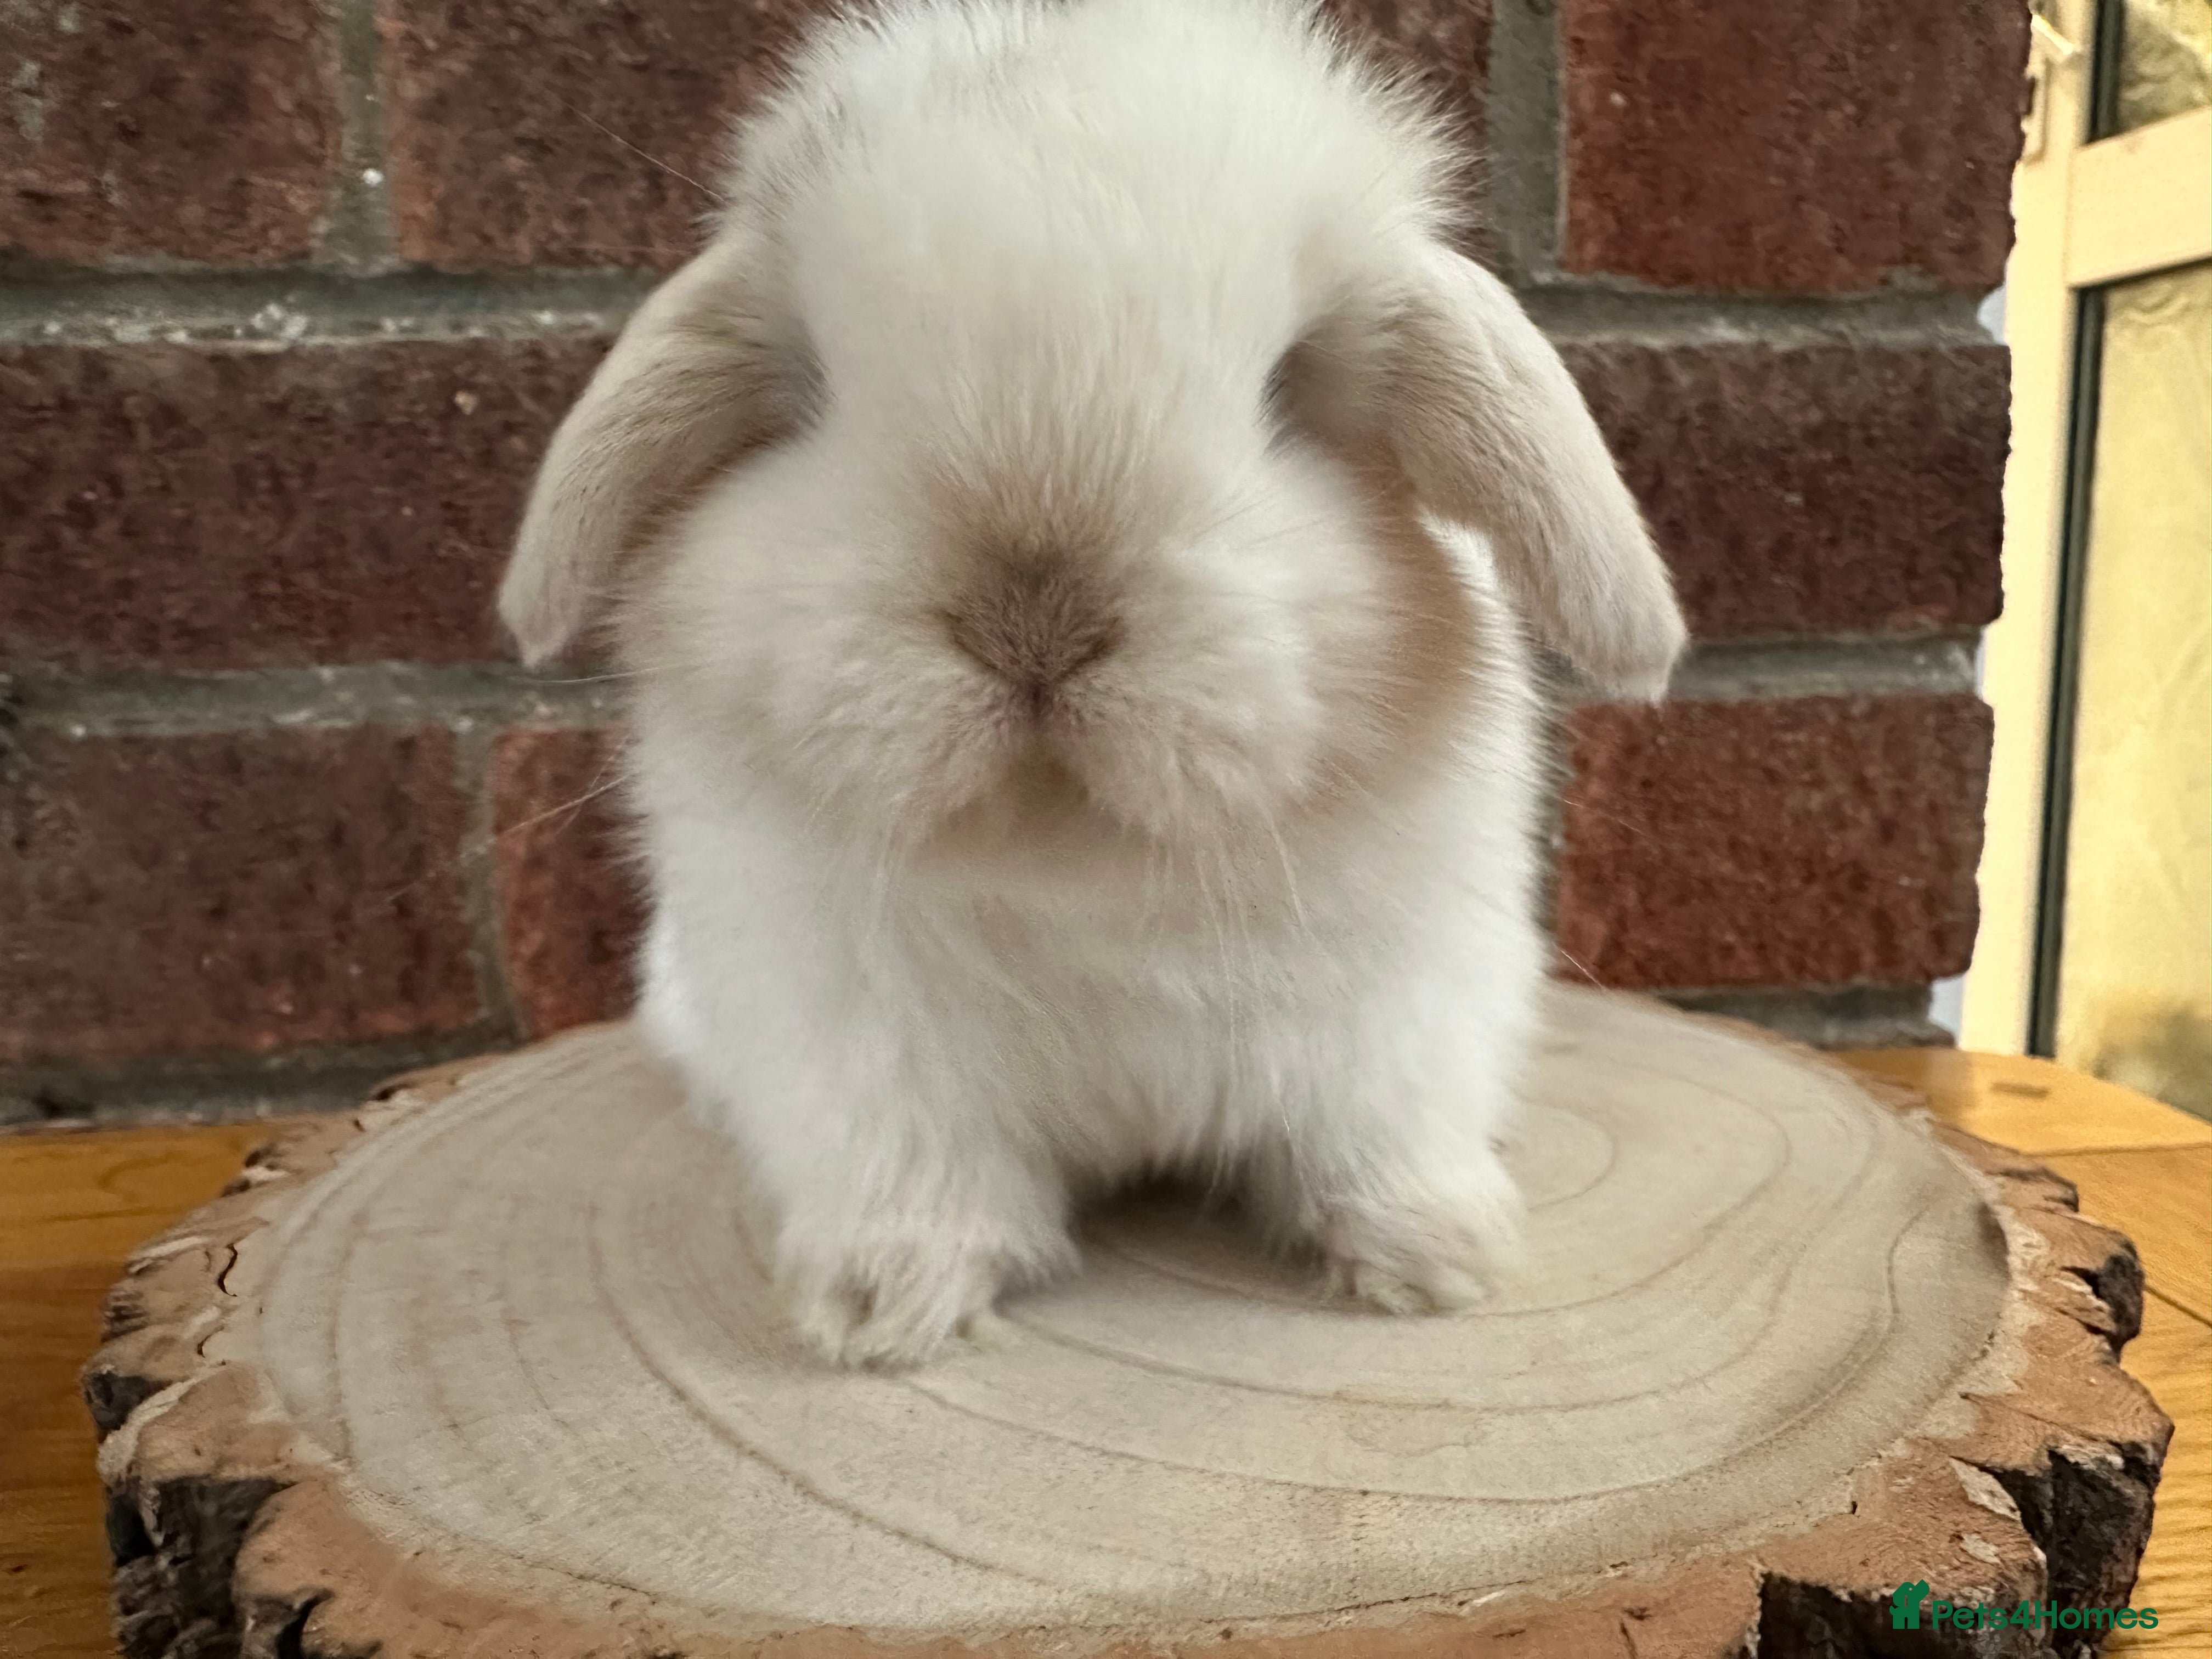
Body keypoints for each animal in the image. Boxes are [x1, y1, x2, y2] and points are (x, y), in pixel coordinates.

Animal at [499, 0, 1685, 1369]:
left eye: (1287, 382)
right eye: (815, 389)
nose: (1034, 620)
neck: (1084, 868)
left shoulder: (1393, 1029)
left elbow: (1371, 1152)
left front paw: (1434, 1263)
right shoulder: (860, 1061)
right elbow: (919, 1185)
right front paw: (881, 1314)